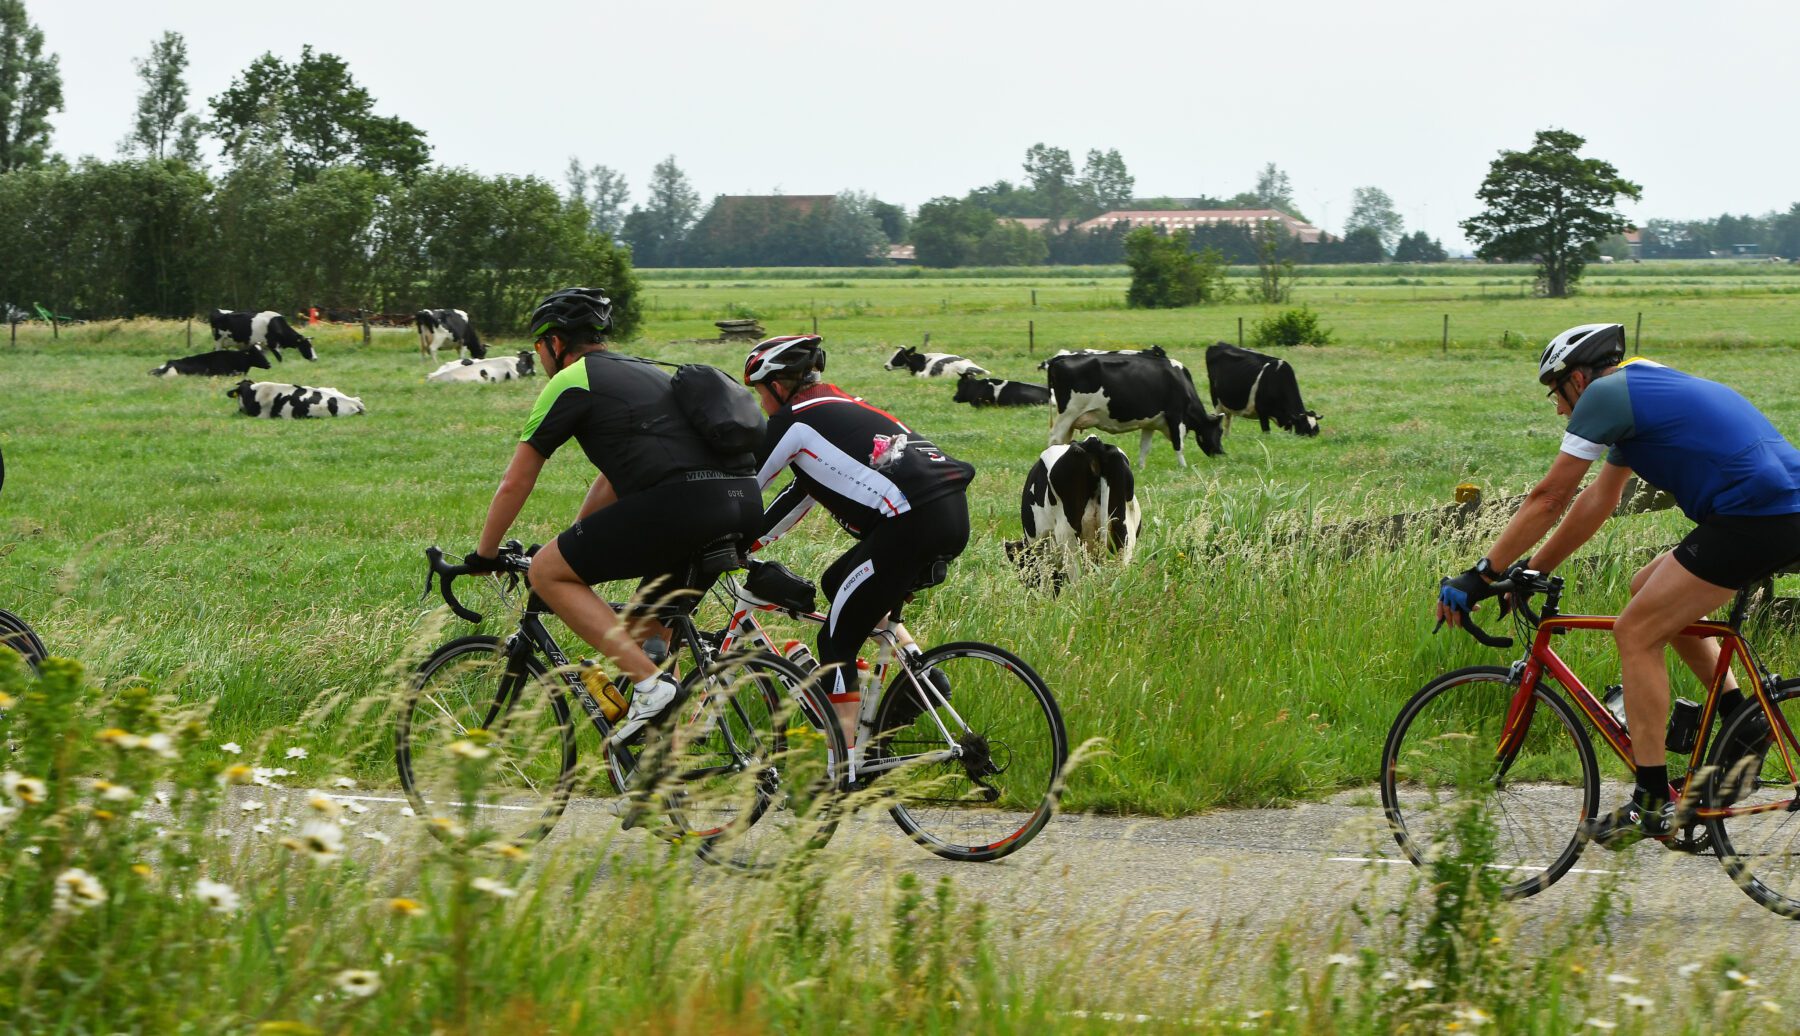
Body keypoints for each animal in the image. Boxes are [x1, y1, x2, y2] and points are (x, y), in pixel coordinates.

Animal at [1044, 343, 1224, 464]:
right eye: (1220, 431)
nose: (1221, 453)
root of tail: (1060, 358)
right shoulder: (1175, 415)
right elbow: (1179, 445)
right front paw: (1183, 467)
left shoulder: (1150, 423)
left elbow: (1145, 448)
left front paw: (1141, 468)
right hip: (1068, 413)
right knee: (1054, 438)